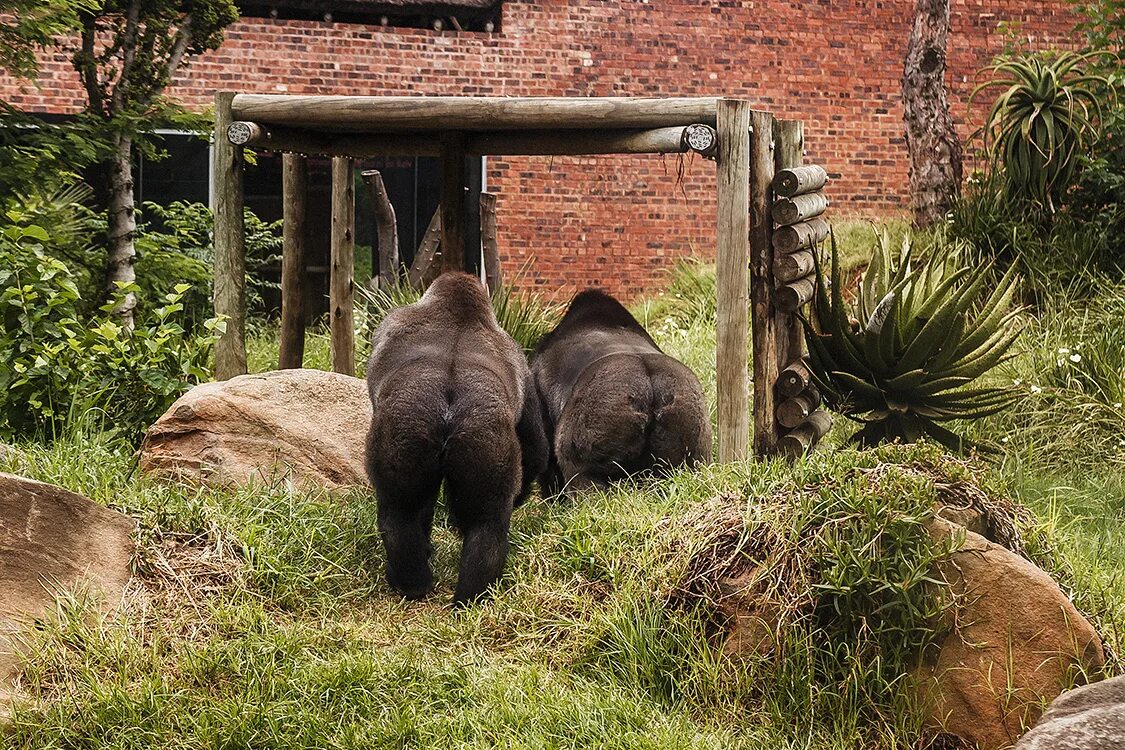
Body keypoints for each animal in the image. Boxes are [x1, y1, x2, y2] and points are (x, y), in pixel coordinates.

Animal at [364, 273, 549, 607]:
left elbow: (535, 449)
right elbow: (534, 452)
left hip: (424, 428)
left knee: (407, 512)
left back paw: (421, 585)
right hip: (461, 434)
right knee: (478, 522)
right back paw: (461, 594)